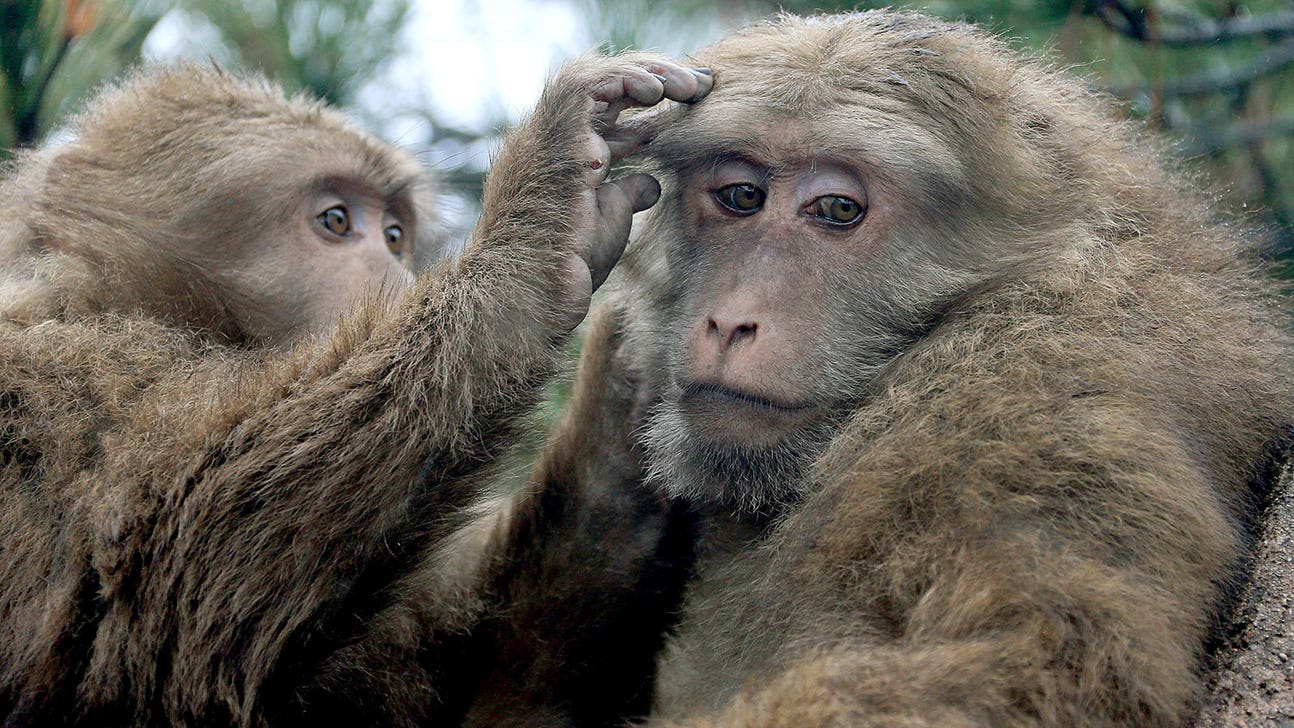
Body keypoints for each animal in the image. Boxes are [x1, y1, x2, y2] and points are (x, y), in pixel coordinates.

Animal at [0, 58, 712, 726]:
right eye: (336, 221)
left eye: (394, 235)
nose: (400, 282)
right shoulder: (50, 387)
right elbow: (166, 589)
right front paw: (541, 221)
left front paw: (642, 363)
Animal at [489, 10, 1294, 726]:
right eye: (742, 196)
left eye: (838, 209)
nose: (730, 320)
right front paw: (552, 199)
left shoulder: (1035, 395)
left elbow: (1043, 667)